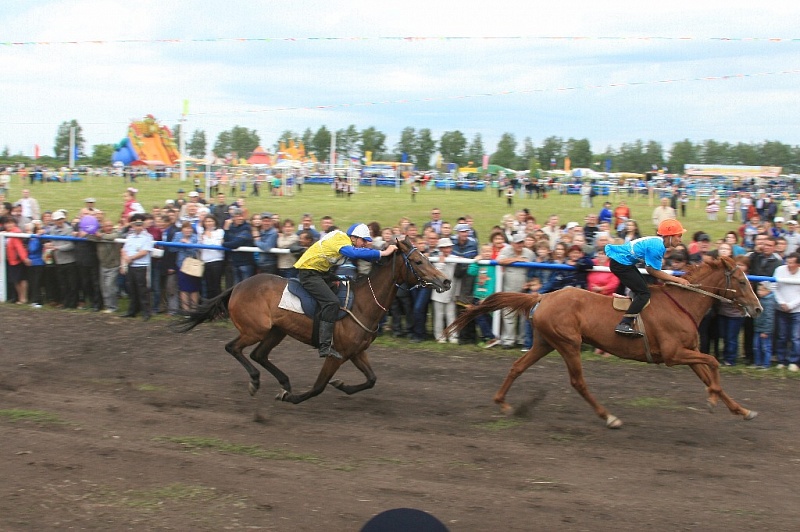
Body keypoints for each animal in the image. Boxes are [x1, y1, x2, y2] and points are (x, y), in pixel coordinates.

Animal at [175, 235, 450, 406]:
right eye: (417, 261)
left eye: (427, 257)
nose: (445, 280)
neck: (363, 303)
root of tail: (238, 286)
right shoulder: (336, 354)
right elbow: (319, 386)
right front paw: (292, 398)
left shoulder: (357, 352)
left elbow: (371, 380)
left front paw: (342, 385)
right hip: (255, 329)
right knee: (233, 348)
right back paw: (256, 381)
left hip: (276, 331)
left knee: (258, 355)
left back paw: (284, 382)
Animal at [444, 256, 764, 428]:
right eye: (742, 281)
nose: (759, 308)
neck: (682, 303)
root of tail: (541, 297)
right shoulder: (674, 354)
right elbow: (713, 363)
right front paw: (712, 399)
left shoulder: (689, 352)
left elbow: (708, 372)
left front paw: (742, 410)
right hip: (568, 343)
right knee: (578, 382)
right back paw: (609, 417)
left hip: (545, 342)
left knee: (517, 367)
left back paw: (503, 403)